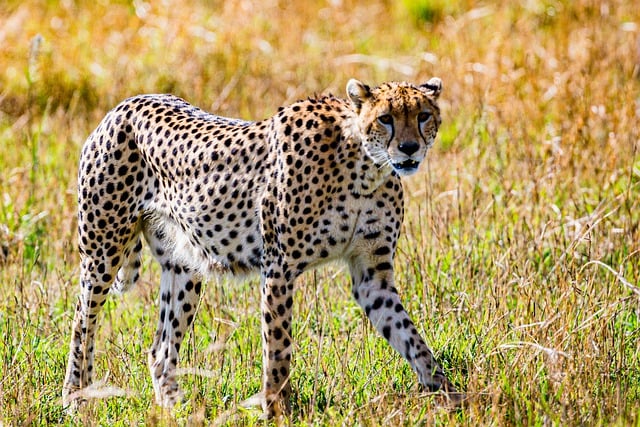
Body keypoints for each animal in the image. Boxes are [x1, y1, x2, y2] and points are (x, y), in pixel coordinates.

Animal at [62, 77, 458, 418]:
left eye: (423, 115)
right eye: (385, 119)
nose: (409, 149)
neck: (364, 167)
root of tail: (127, 103)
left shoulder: (372, 276)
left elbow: (412, 339)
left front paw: (450, 396)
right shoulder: (279, 268)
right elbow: (278, 349)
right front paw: (277, 411)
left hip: (185, 267)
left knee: (161, 349)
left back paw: (176, 411)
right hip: (102, 254)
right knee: (82, 323)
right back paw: (75, 401)